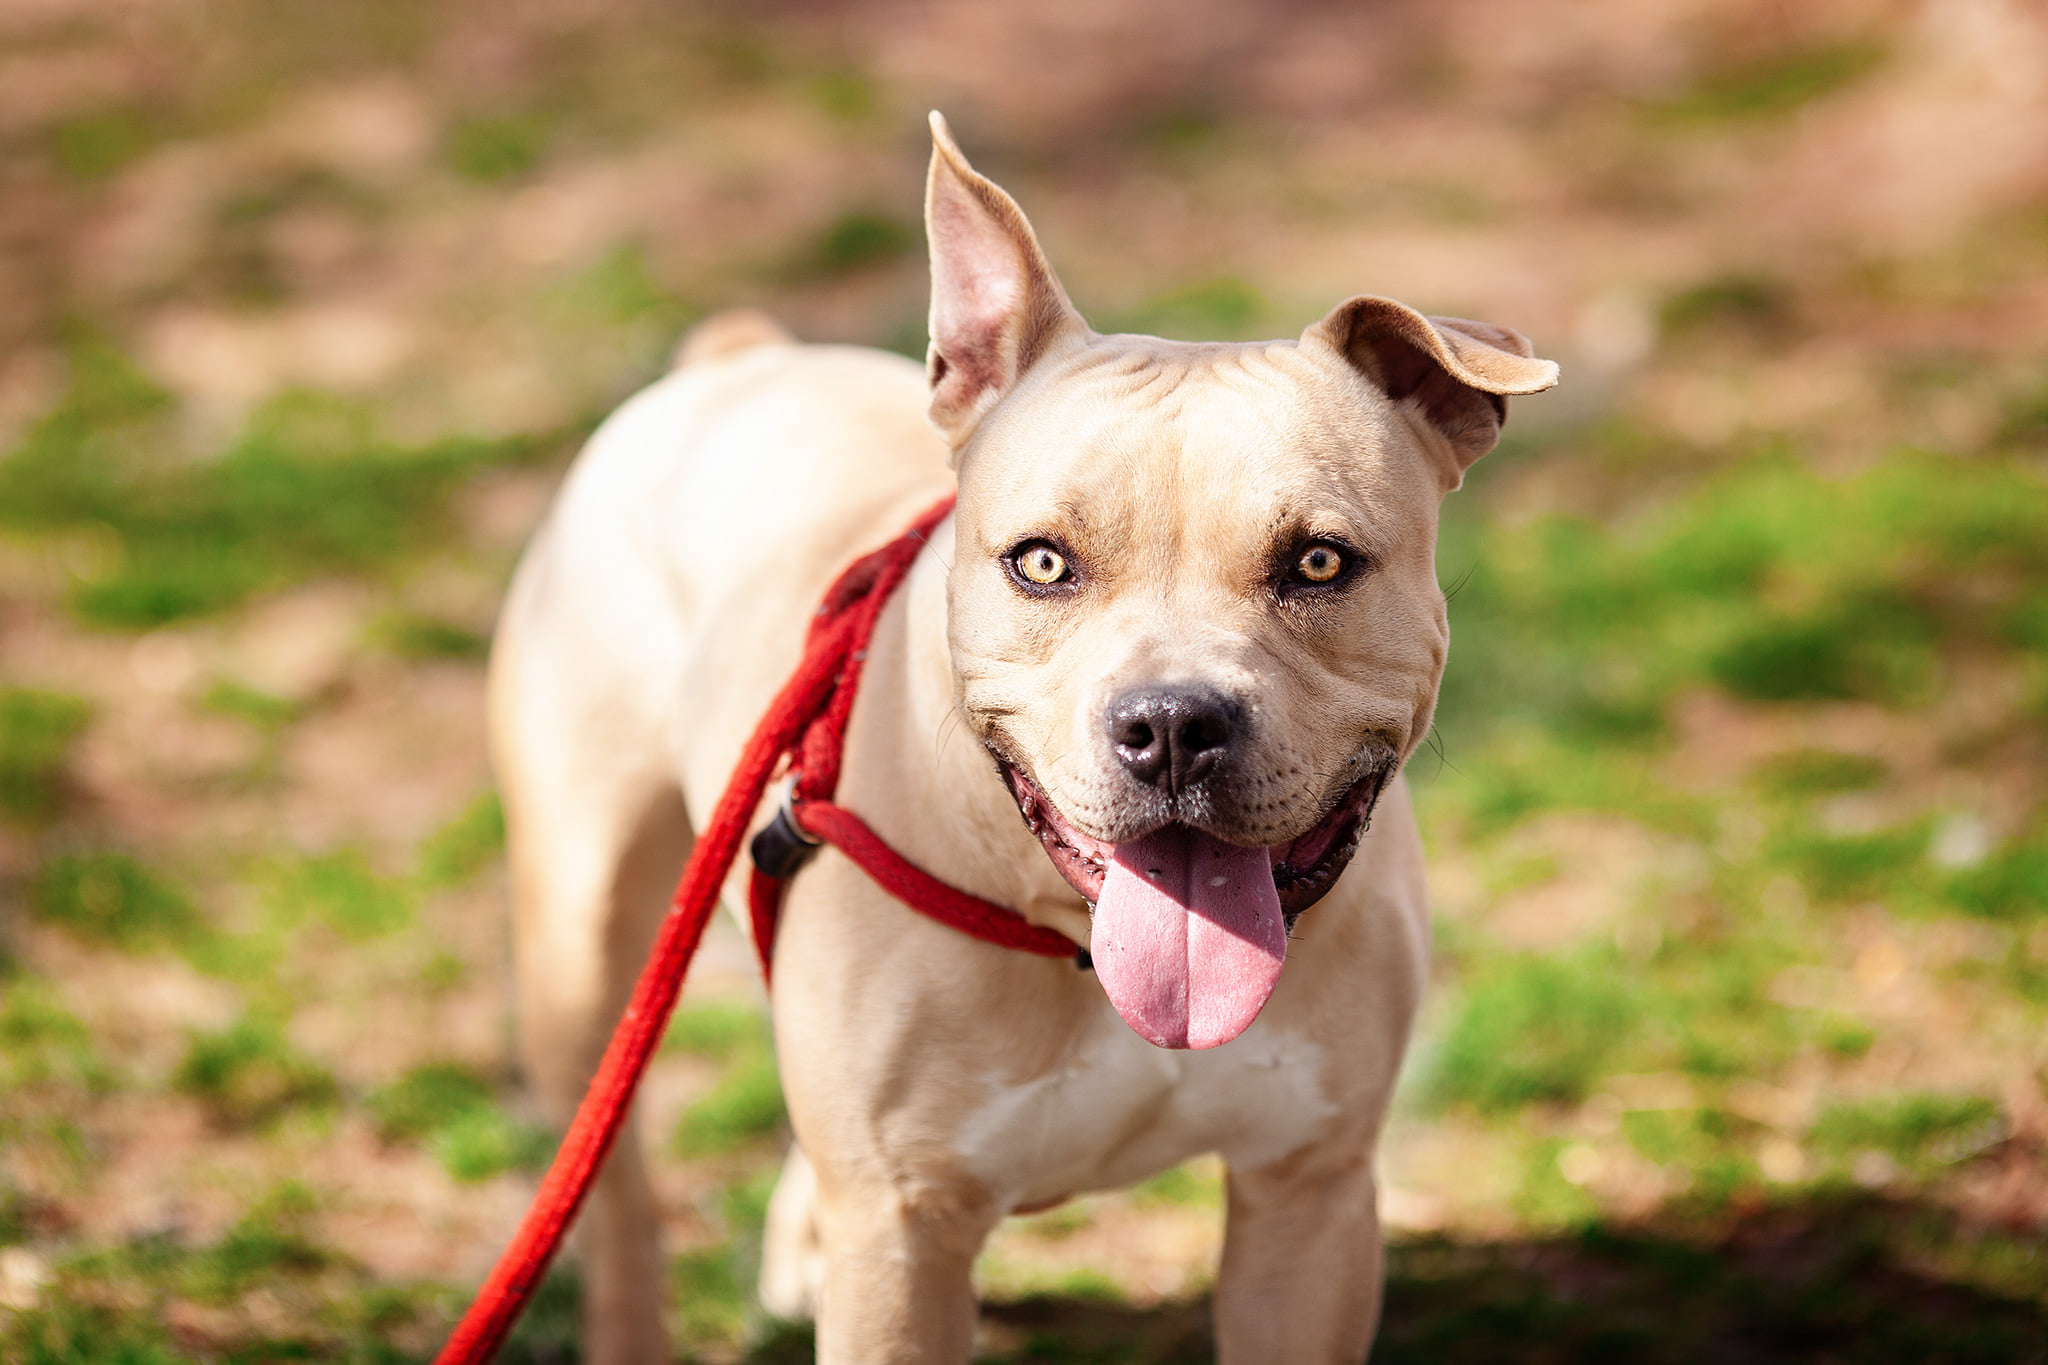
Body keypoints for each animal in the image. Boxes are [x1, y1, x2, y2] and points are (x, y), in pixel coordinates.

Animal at [491, 112, 1548, 1358]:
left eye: (1320, 562)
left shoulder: (1308, 1199)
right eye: (1040, 563)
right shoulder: (900, 1244)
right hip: (583, 951)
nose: (1171, 724)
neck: (1072, 936)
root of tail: (736, 359)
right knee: (611, 1200)